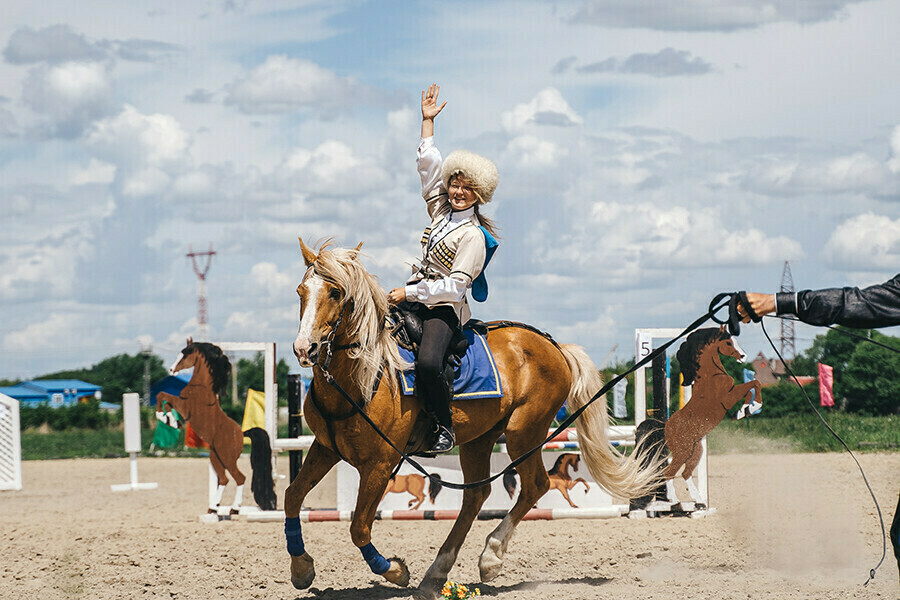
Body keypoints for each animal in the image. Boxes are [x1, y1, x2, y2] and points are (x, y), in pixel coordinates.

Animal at [156, 340, 274, 512]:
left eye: (185, 355)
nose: (171, 370)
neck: (200, 386)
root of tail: (242, 433)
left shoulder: (184, 406)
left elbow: (163, 395)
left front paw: (167, 419)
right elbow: (164, 398)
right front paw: (172, 421)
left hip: (227, 458)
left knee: (240, 478)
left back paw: (234, 507)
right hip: (215, 457)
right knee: (224, 479)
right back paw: (214, 505)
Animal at [284, 241, 664, 596]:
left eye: (335, 292)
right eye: (301, 291)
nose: (305, 349)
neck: (365, 374)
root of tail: (555, 346)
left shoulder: (380, 462)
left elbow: (359, 527)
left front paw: (395, 570)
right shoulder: (325, 448)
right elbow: (292, 496)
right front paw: (302, 569)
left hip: (523, 432)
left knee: (535, 485)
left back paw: (490, 558)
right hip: (479, 439)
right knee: (476, 495)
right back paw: (437, 573)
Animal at [664, 328, 764, 506]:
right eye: (728, 342)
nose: (743, 356)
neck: (710, 374)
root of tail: (665, 429)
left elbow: (753, 385)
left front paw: (746, 409)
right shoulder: (728, 398)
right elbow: (752, 384)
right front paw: (747, 409)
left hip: (696, 450)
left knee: (685, 473)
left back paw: (698, 500)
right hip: (683, 451)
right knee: (669, 473)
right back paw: (675, 501)